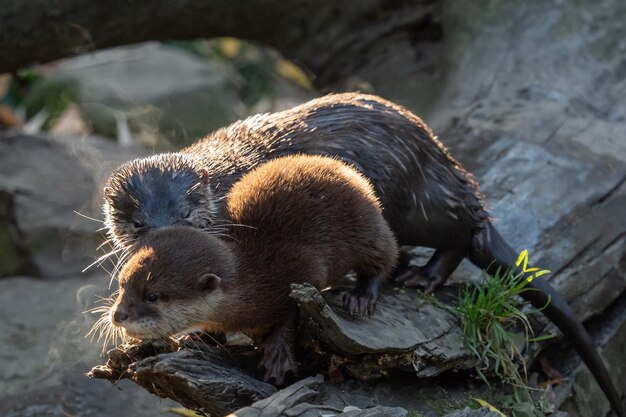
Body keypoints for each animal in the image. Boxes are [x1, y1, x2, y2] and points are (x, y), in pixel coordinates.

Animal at [109, 155, 398, 384]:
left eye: (153, 296)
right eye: (123, 285)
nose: (118, 315)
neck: (254, 279)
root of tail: (346, 170)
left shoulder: (302, 270)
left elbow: (291, 314)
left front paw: (278, 357)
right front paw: (199, 336)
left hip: (364, 225)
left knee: (385, 255)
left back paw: (360, 297)